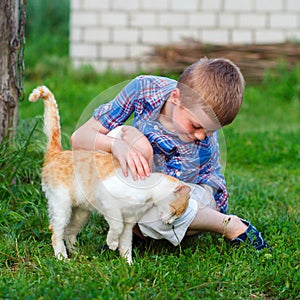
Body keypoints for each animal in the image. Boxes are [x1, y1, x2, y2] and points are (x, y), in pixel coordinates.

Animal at [29, 85, 191, 264]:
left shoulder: (129, 221)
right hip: (61, 205)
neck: (147, 192)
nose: (170, 223)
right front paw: (112, 243)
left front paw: (128, 263)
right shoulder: (109, 203)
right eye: (176, 212)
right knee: (56, 231)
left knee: (69, 231)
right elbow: (116, 228)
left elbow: (126, 242)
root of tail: (56, 152)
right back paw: (62, 258)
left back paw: (77, 254)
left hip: (81, 213)